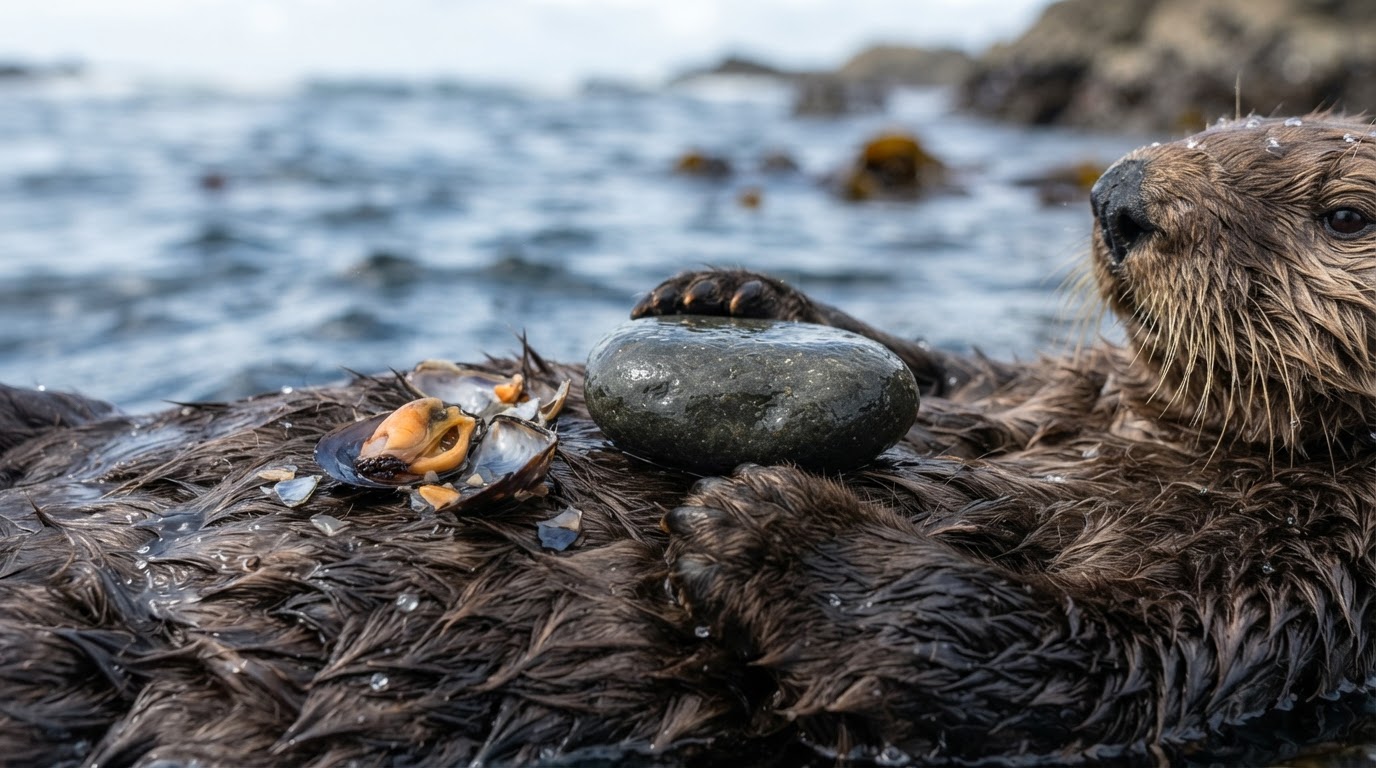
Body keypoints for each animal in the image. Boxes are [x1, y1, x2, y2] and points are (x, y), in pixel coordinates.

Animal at [3, 114, 1376, 766]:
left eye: (1344, 215)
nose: (1116, 194)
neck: (1140, 419)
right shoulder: (1027, 380)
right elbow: (935, 371)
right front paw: (725, 292)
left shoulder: (1287, 595)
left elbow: (1043, 660)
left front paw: (760, 522)